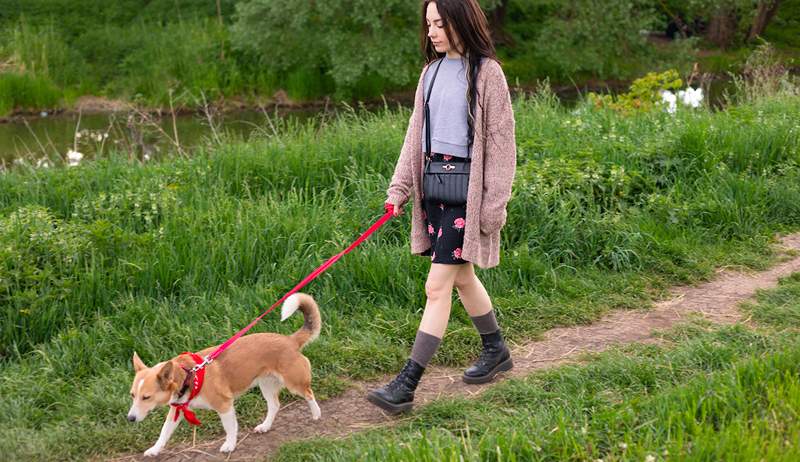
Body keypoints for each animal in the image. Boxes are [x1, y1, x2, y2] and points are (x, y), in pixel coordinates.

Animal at [128, 292, 322, 454]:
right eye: (132, 395)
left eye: (146, 397)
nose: (130, 418)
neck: (188, 375)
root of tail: (290, 340)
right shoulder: (177, 410)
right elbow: (164, 432)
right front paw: (155, 449)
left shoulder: (224, 405)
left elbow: (230, 428)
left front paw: (229, 444)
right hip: (266, 385)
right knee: (274, 405)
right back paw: (265, 426)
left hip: (294, 383)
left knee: (309, 394)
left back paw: (316, 414)